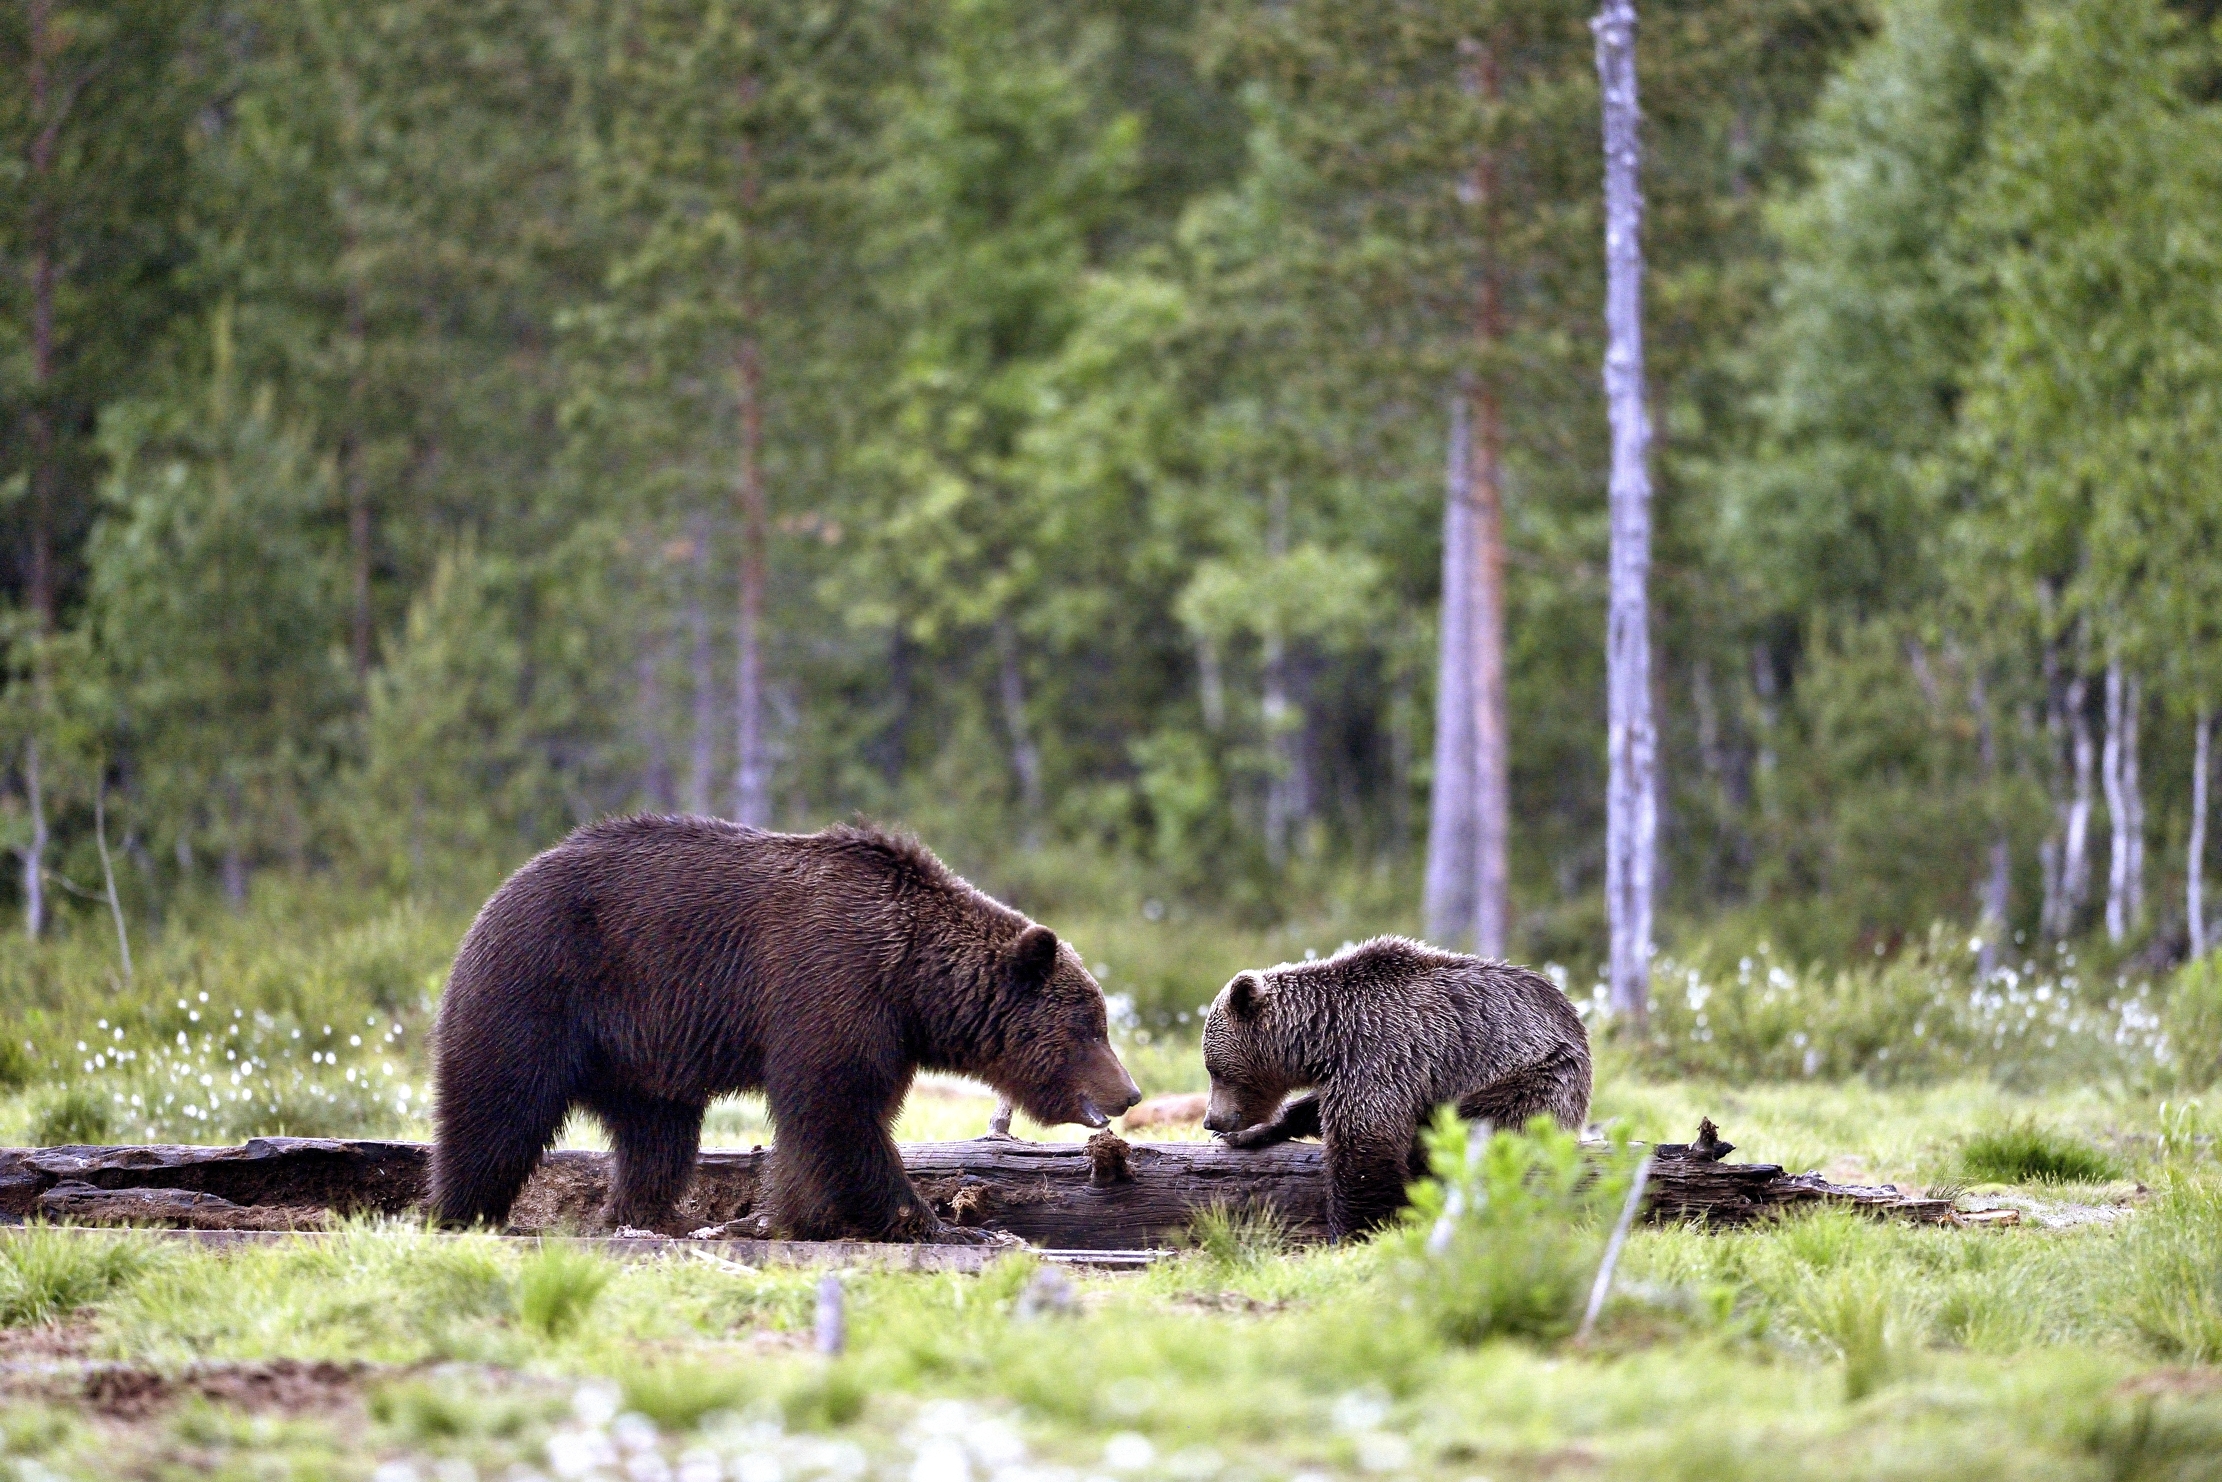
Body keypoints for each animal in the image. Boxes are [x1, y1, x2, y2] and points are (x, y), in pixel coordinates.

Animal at [428, 816, 1141, 1239]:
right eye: (1091, 1026)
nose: (1129, 1093)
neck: (913, 984)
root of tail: (498, 893)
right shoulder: (832, 984)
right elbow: (836, 1109)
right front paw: (929, 1220)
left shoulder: (882, 1028)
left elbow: (830, 1123)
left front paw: (798, 1216)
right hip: (543, 988)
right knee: (498, 1107)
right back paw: (464, 1210)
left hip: (641, 1057)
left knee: (656, 1137)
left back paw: (642, 1216)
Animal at [1200, 936, 1591, 1239]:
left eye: (1215, 1070)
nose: (1211, 1120)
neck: (1325, 1036)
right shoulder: (1346, 1070)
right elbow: (1316, 1111)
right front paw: (1252, 1133)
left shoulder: (1381, 1051)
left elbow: (1366, 1143)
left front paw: (1355, 1230)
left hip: (1535, 1077)